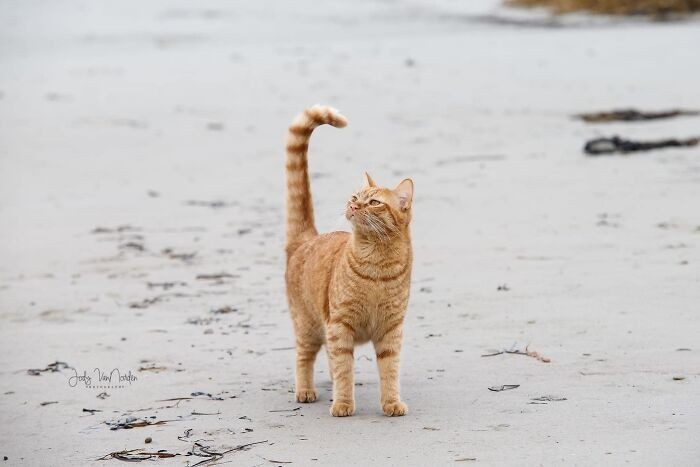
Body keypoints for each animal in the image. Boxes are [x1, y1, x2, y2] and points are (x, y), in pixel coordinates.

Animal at [286, 106, 416, 416]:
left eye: (374, 203)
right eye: (355, 196)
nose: (353, 206)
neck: (377, 263)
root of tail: (307, 238)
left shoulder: (391, 329)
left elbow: (389, 370)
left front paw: (391, 403)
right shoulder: (340, 324)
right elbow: (344, 368)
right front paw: (343, 404)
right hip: (308, 325)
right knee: (304, 357)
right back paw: (305, 390)